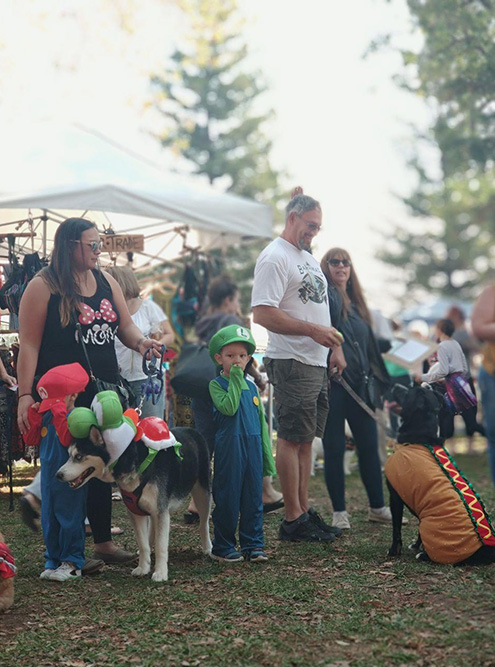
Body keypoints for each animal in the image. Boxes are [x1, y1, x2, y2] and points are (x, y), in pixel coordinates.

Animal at [57, 428, 212, 580]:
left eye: (78, 456)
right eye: (69, 455)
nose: (58, 475)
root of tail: (193, 430)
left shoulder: (161, 511)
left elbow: (161, 546)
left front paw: (161, 573)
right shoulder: (135, 511)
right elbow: (143, 544)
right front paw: (143, 567)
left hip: (202, 494)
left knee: (204, 524)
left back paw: (208, 548)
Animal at [388, 384, 495, 568]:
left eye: (408, 391)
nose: (395, 385)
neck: (421, 438)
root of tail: (486, 548)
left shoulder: (395, 495)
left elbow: (396, 528)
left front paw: (394, 552)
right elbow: (417, 528)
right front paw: (416, 545)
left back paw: (424, 555)